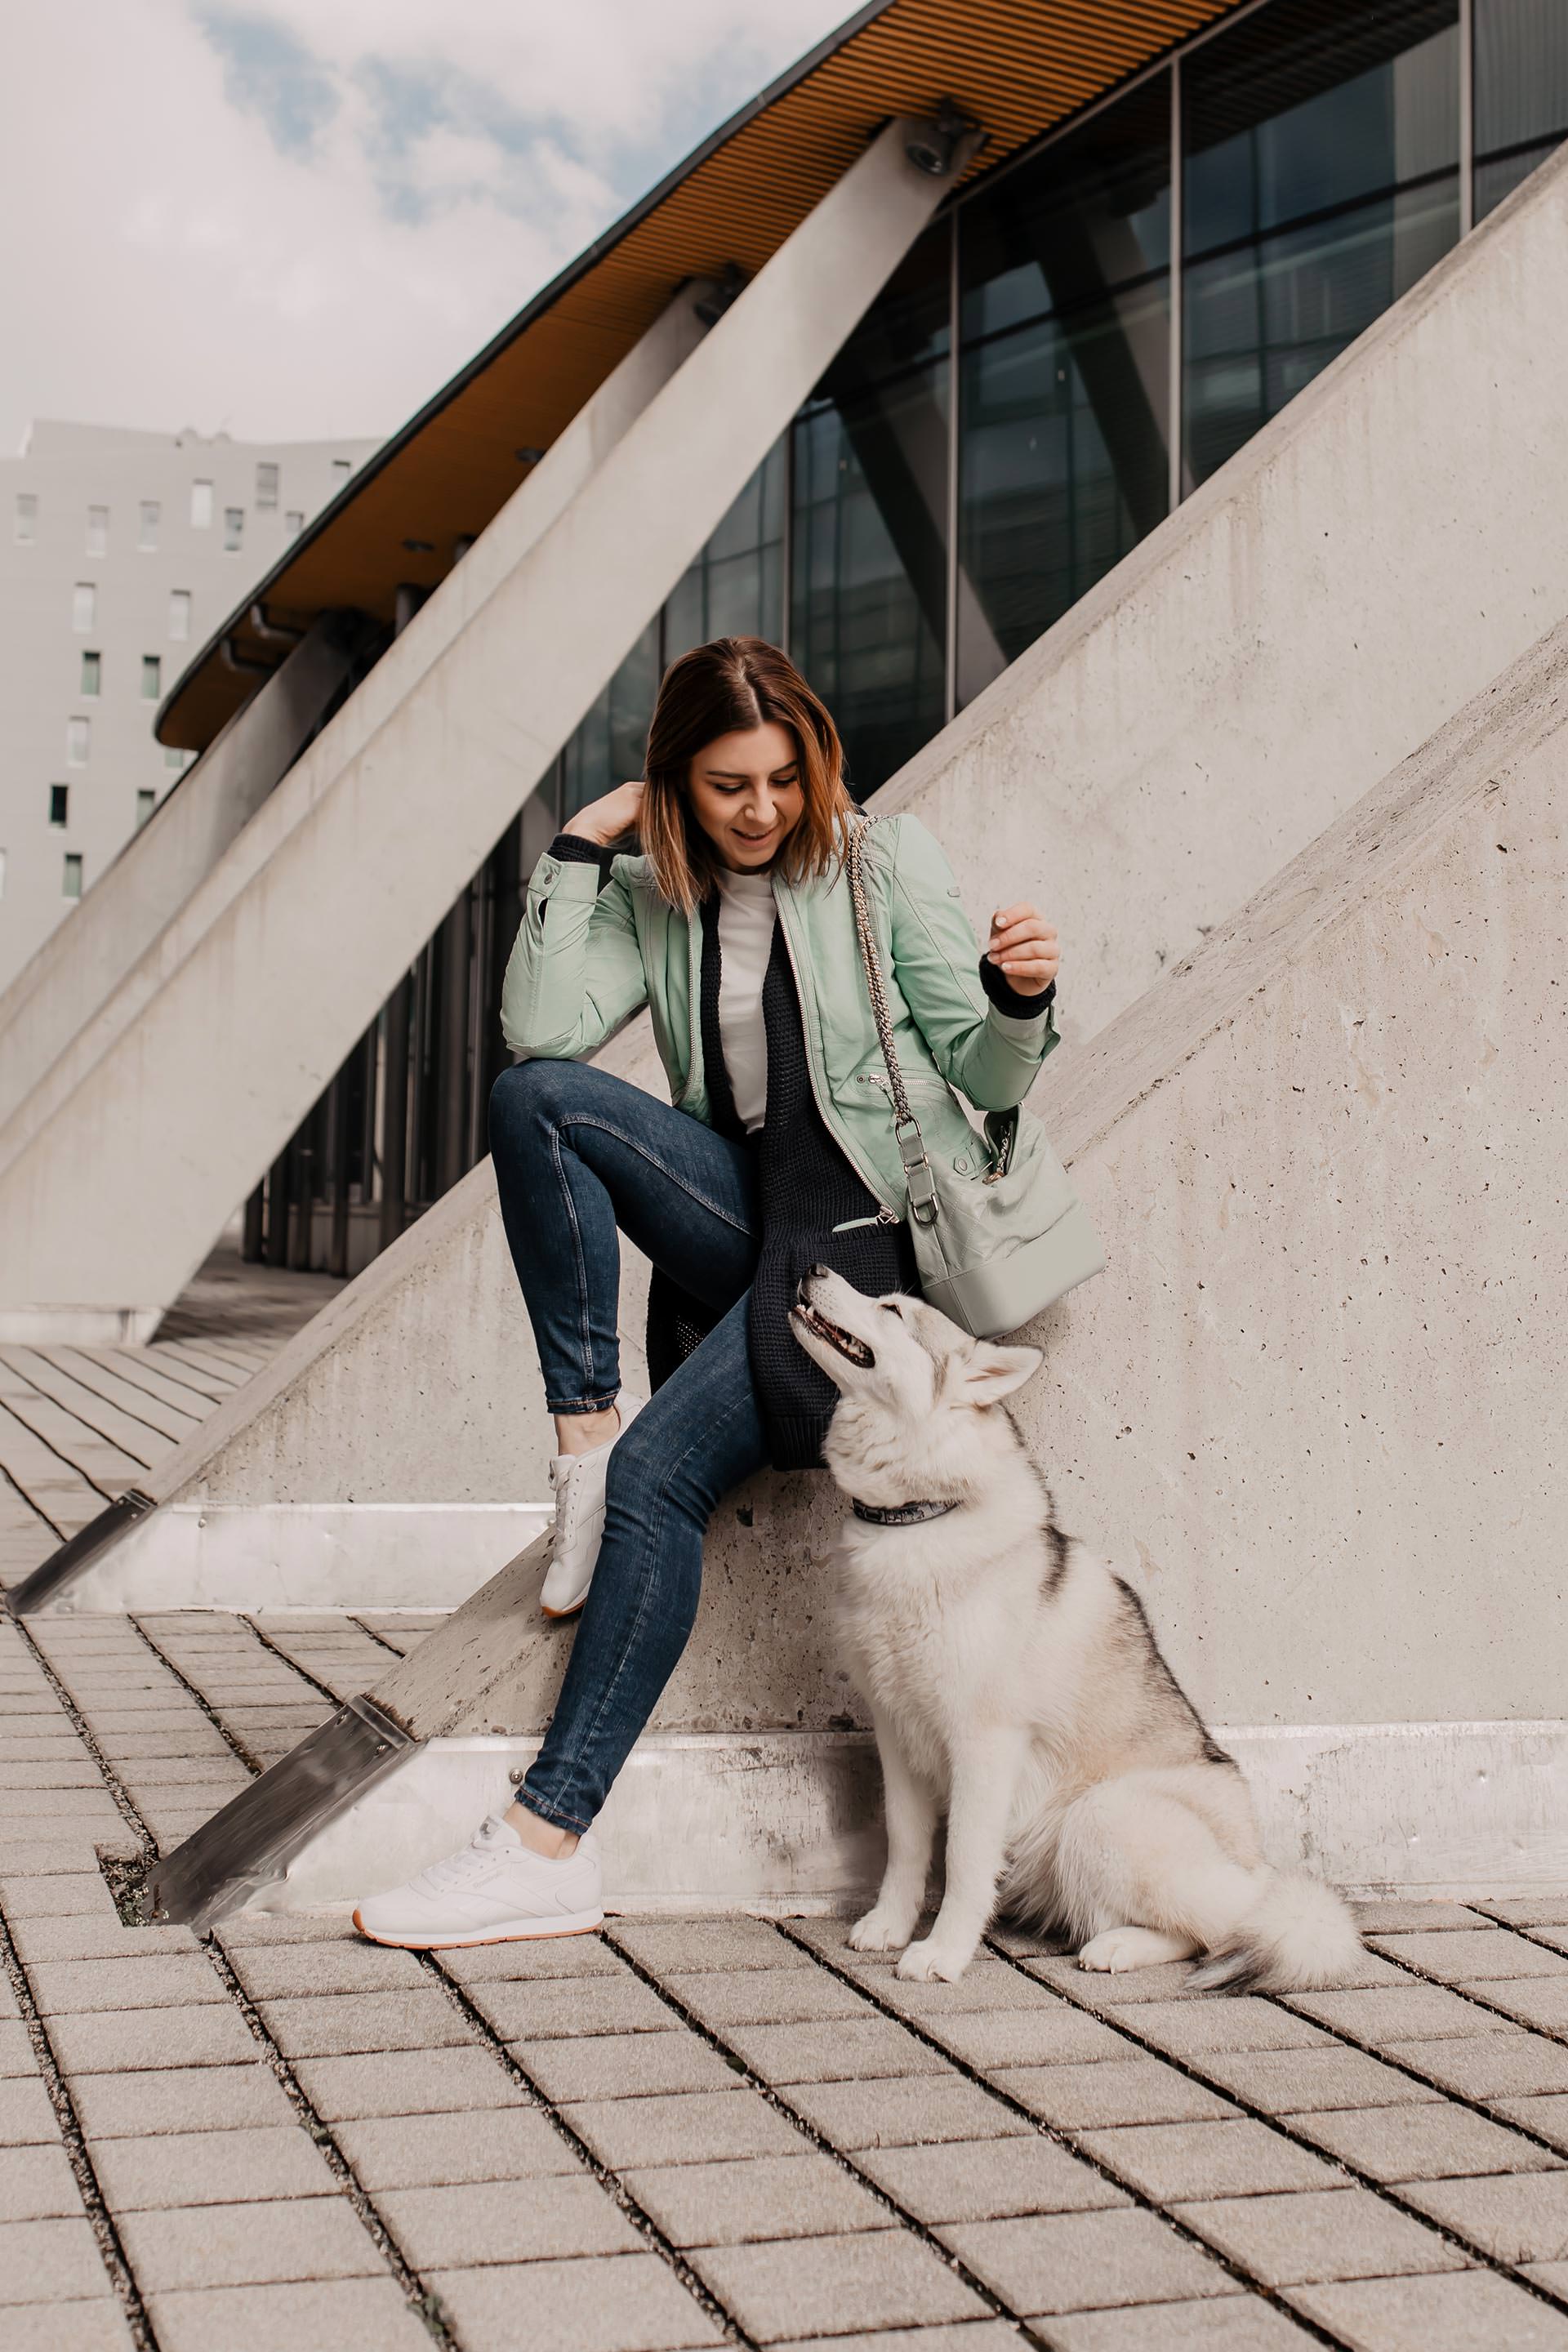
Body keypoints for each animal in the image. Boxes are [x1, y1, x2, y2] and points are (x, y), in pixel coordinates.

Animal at [790, 1270, 1354, 1984]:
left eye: (892, 1310)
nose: (813, 1270)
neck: (920, 1517)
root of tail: (1256, 1863)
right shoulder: (896, 1733)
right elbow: (907, 1845)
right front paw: (891, 1926)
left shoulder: (984, 1743)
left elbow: (964, 1860)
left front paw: (944, 1953)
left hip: (1099, 1816)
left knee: (1223, 1928)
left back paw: (1122, 1949)